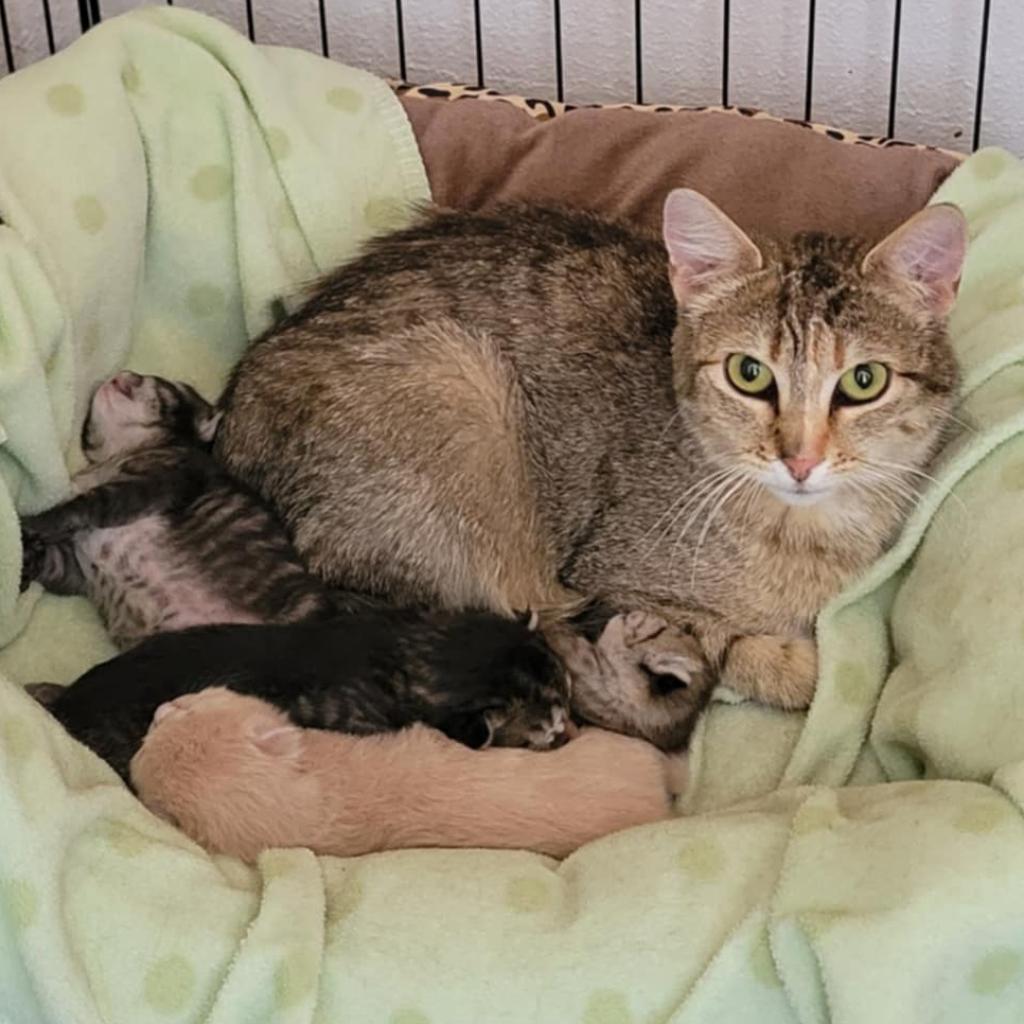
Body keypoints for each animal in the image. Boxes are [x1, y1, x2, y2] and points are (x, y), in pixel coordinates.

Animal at [216, 193, 966, 753]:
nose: (800, 458)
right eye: (749, 373)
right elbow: (742, 650)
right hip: (453, 384)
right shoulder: (611, 582)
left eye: (864, 381)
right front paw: (808, 669)